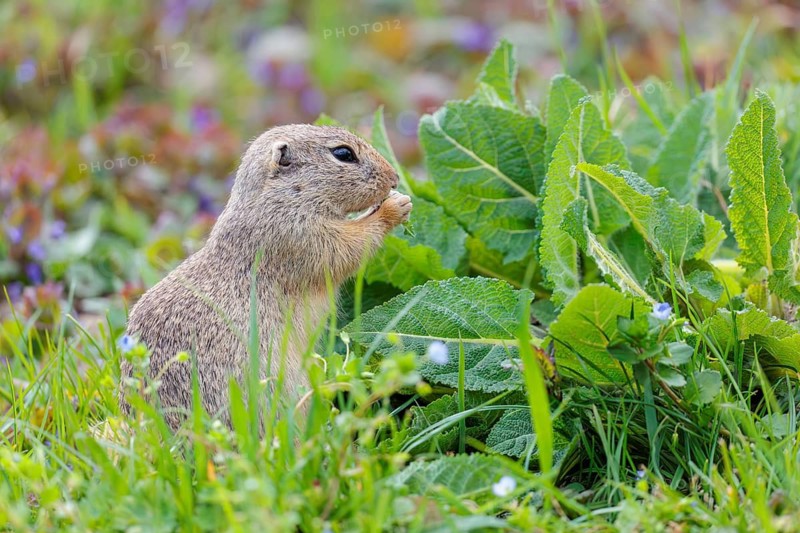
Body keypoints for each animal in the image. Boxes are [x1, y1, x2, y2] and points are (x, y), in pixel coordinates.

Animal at [120, 124, 412, 430]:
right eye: (343, 154)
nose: (394, 178)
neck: (279, 197)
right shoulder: (297, 235)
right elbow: (349, 246)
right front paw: (395, 206)